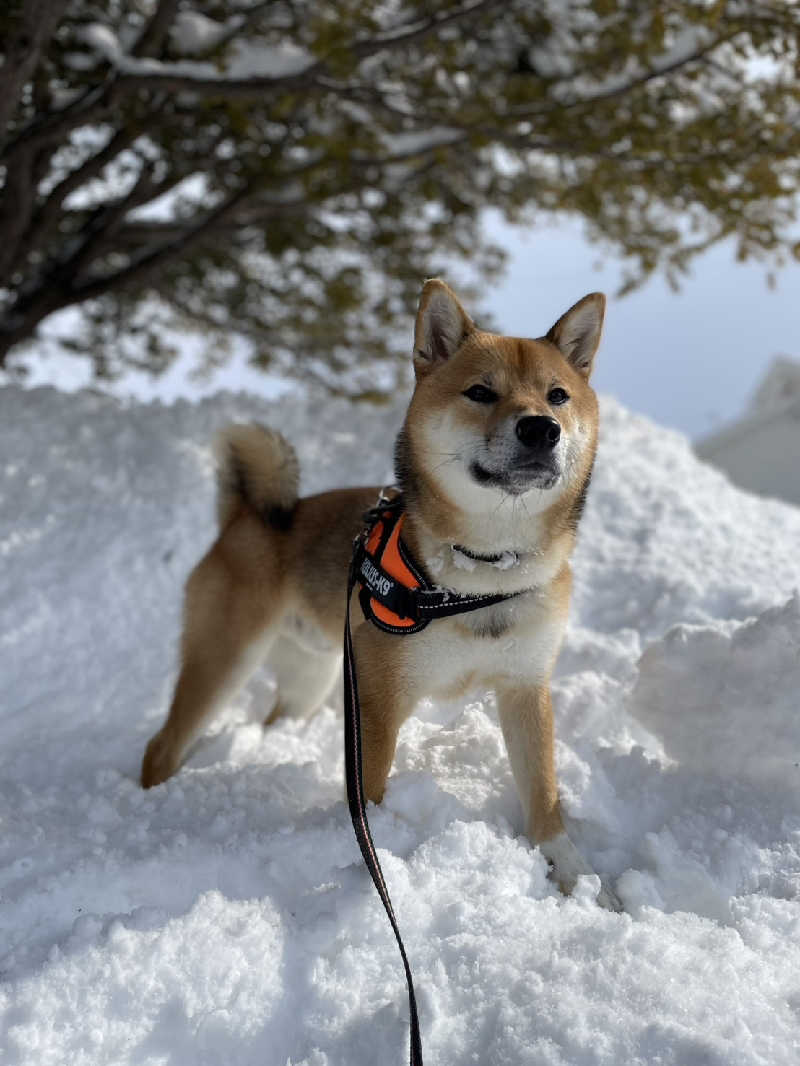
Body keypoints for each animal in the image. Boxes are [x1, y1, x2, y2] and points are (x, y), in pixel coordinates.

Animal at [142, 277, 618, 908]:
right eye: (481, 392)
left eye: (558, 396)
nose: (541, 428)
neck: (483, 571)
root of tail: (246, 518)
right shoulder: (379, 701)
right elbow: (368, 801)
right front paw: (372, 874)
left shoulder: (525, 688)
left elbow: (544, 795)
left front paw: (577, 878)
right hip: (226, 660)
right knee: (163, 745)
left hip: (312, 677)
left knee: (274, 719)